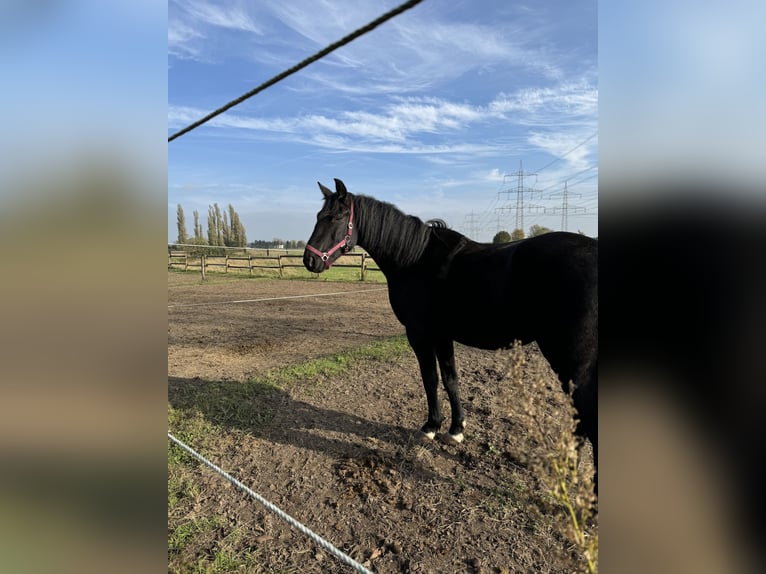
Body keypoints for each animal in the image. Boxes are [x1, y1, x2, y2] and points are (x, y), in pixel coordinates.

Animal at [306, 180, 600, 476]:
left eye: (336, 217)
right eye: (318, 216)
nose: (310, 260)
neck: (415, 259)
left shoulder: (420, 334)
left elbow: (430, 379)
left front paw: (431, 427)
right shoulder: (443, 336)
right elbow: (451, 379)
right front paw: (456, 429)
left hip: (570, 359)